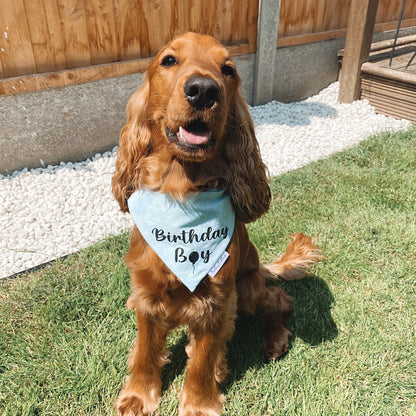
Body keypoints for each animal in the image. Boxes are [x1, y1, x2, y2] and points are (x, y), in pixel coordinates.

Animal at [111, 32, 324, 416]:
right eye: (169, 61)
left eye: (228, 69)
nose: (203, 90)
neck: (181, 196)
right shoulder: (147, 294)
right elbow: (146, 350)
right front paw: (138, 395)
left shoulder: (217, 301)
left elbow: (201, 360)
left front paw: (199, 404)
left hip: (248, 290)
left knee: (279, 299)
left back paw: (275, 338)